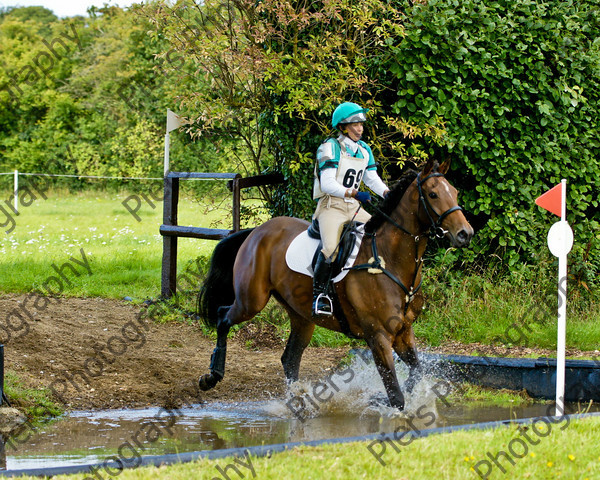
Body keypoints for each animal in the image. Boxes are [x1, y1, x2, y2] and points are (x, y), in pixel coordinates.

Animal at [197, 159, 474, 410]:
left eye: (455, 192)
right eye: (433, 194)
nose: (465, 233)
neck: (390, 260)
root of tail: (257, 231)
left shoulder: (403, 333)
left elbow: (415, 373)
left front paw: (379, 398)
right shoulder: (378, 336)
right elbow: (396, 395)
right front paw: (382, 402)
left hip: (302, 316)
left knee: (290, 358)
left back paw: (298, 401)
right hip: (251, 301)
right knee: (223, 317)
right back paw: (211, 377)